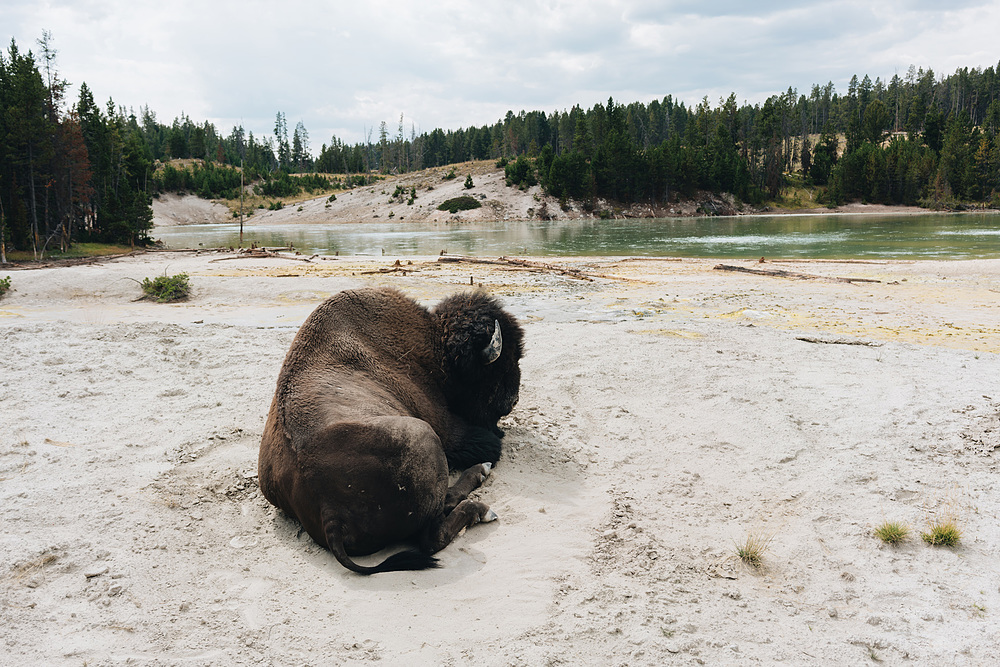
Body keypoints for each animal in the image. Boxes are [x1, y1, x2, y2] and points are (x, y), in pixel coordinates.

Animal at [256, 286, 524, 576]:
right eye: (502, 365)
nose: (513, 400)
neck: (434, 344)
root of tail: (330, 514)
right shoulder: (446, 427)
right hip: (424, 436)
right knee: (432, 534)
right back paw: (481, 502)